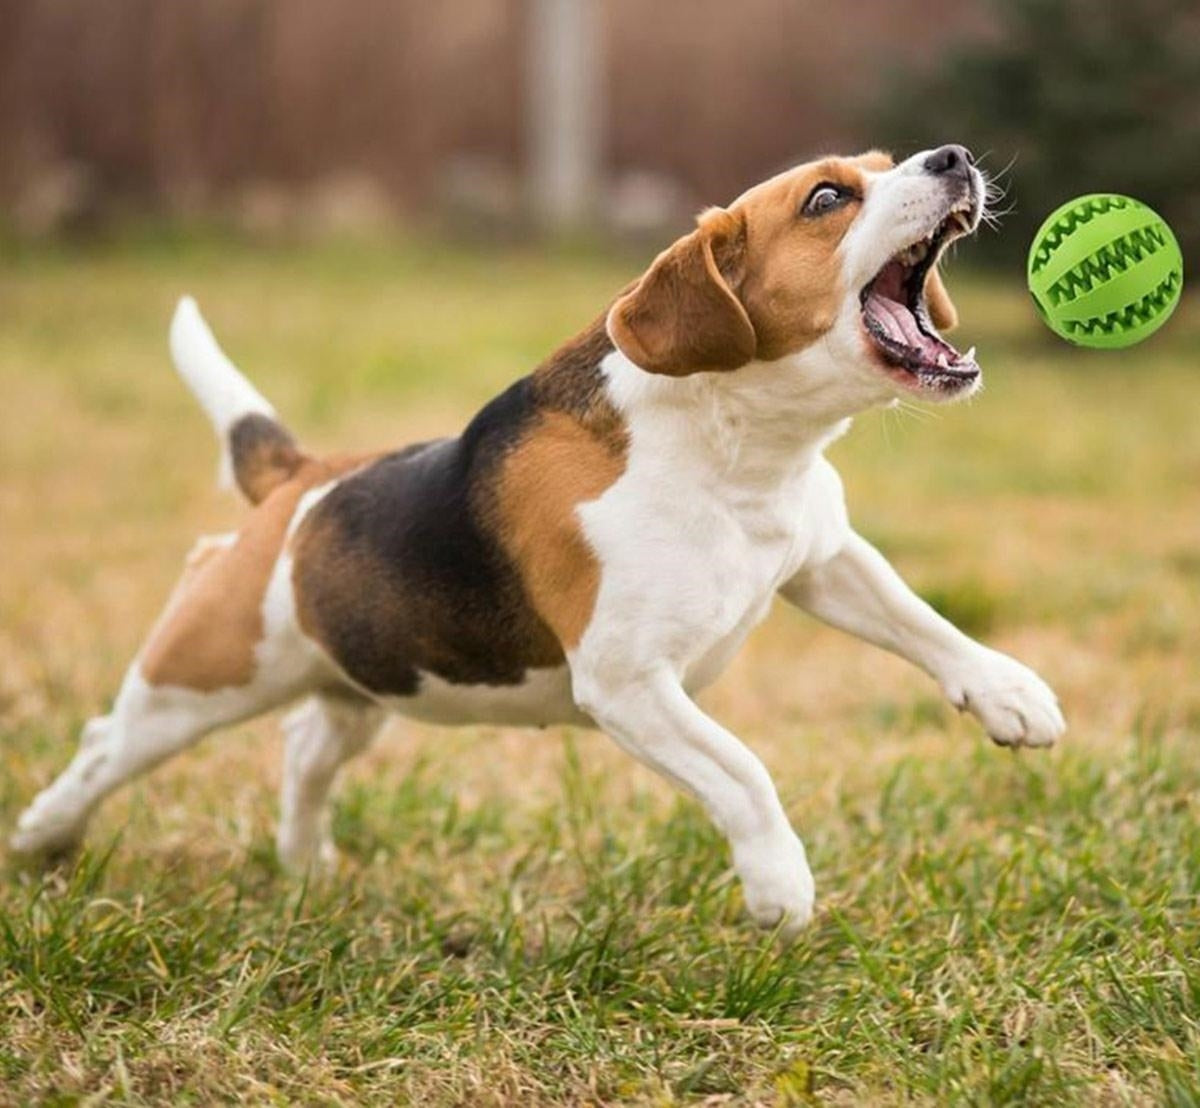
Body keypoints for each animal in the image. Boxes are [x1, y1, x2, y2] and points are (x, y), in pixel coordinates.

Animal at [9, 142, 1060, 931]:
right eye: (829, 198)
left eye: (888, 164)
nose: (953, 156)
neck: (738, 450)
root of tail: (301, 481)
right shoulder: (630, 684)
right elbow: (744, 771)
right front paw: (779, 884)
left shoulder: (825, 559)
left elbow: (925, 624)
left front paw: (1012, 695)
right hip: (201, 677)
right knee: (106, 745)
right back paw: (42, 838)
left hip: (362, 681)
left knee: (306, 745)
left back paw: (304, 864)